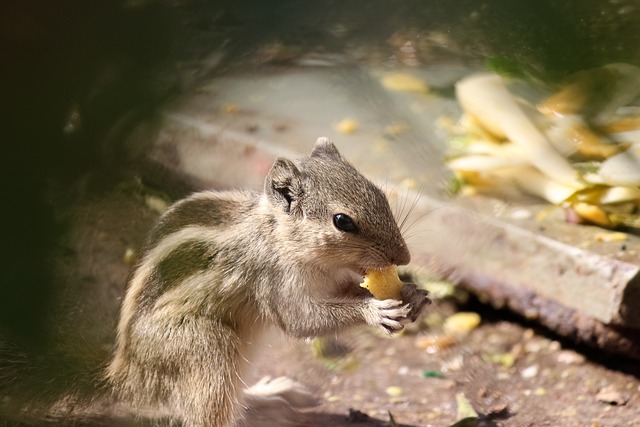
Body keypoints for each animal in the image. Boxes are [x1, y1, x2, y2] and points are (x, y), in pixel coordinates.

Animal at [2, 138, 430, 427]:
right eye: (343, 221)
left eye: (379, 194)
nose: (405, 258)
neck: (280, 236)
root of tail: (124, 377)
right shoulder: (274, 282)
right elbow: (303, 321)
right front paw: (375, 310)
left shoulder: (334, 277)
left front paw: (414, 293)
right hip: (207, 346)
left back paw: (271, 396)